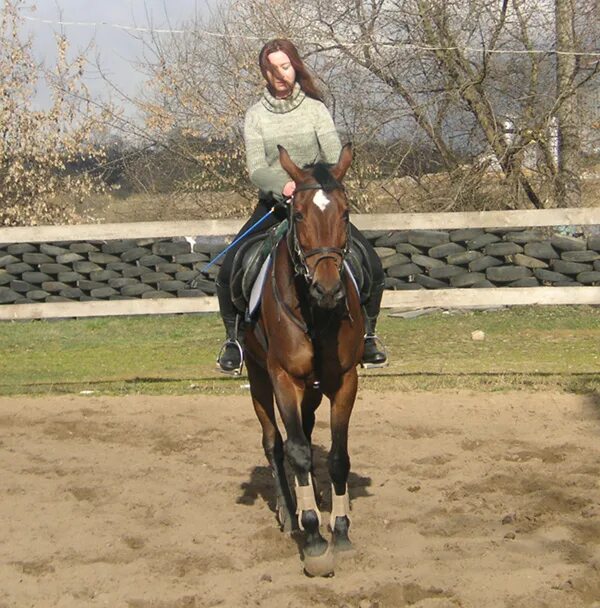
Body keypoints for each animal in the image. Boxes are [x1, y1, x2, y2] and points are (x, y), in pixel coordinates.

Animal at [241, 142, 364, 576]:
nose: (328, 290)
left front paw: (341, 531)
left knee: (307, 437)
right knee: (275, 443)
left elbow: (338, 457)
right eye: (297, 215)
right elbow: (295, 452)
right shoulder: (283, 378)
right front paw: (313, 537)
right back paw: (288, 510)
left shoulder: (345, 380)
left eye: (345, 213)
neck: (316, 314)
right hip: (258, 378)